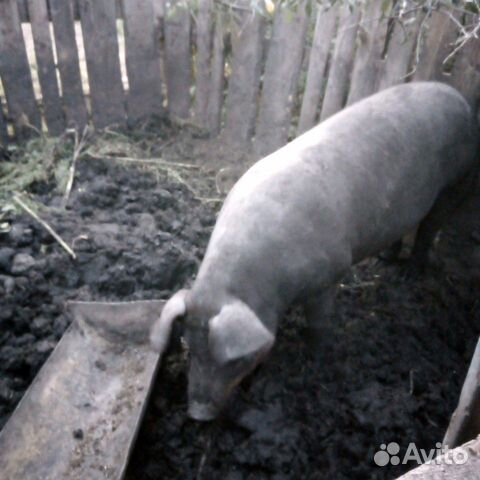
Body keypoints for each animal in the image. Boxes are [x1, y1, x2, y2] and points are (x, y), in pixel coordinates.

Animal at [151, 82, 479, 421]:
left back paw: (409, 275)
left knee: (430, 228)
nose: (197, 414)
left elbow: (319, 322)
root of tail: (458, 97)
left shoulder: (329, 274)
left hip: (458, 178)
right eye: (189, 347)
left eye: (234, 360)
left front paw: (314, 358)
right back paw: (384, 262)